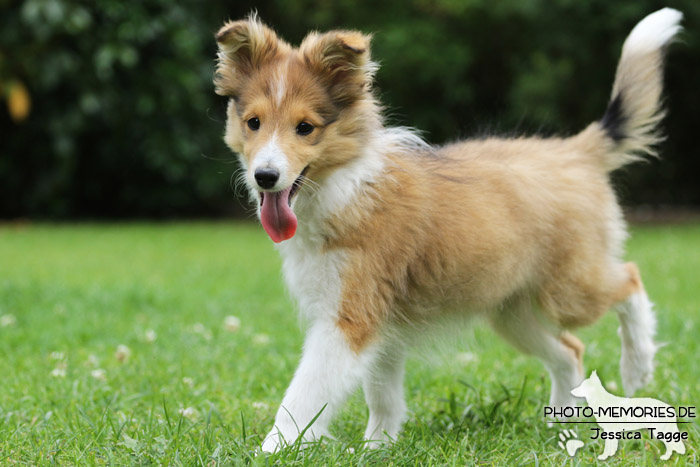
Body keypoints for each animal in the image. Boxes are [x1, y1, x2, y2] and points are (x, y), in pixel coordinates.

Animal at [213, 8, 684, 454]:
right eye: (253, 123)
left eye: (305, 128)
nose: (265, 177)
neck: (343, 186)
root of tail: (575, 150)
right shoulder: (381, 326)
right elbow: (383, 396)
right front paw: (378, 446)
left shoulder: (348, 321)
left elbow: (303, 397)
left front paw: (273, 450)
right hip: (511, 311)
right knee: (570, 350)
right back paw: (560, 424)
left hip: (569, 288)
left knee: (629, 282)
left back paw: (637, 365)